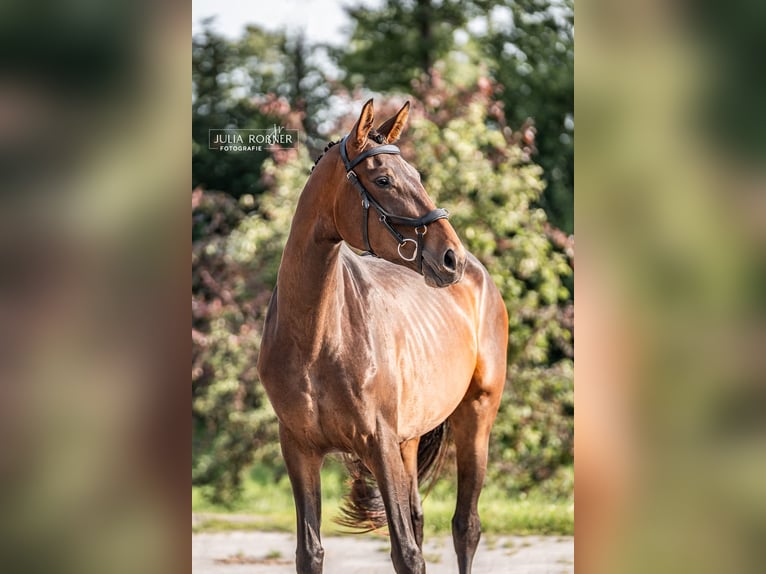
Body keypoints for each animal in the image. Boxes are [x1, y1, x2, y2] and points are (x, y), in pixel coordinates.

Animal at [257, 99, 508, 574]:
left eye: (417, 175)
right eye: (383, 180)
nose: (450, 258)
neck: (316, 340)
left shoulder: (379, 445)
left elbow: (406, 553)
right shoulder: (299, 450)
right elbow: (310, 552)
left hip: (475, 417)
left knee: (465, 526)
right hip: (409, 441)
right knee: (420, 518)